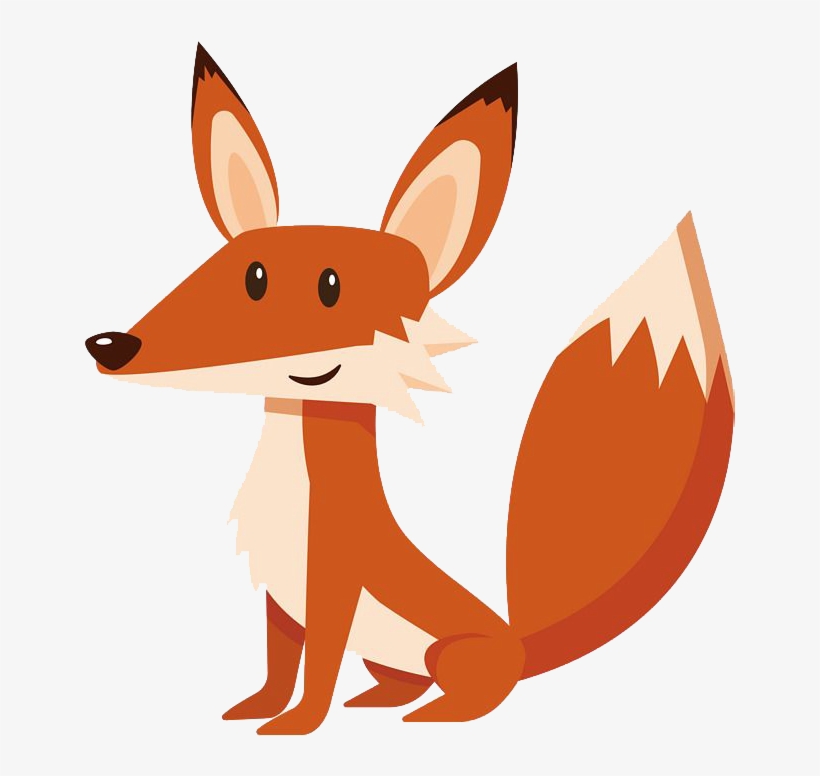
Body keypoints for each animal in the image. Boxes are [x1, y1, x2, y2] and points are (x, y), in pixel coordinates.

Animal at [85, 44, 735, 735]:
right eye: (231, 272)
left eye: (328, 286)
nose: (112, 345)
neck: (291, 484)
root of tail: (517, 642)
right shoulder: (282, 600)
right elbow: (278, 665)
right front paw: (257, 709)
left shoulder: (333, 583)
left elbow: (316, 670)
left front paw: (297, 725)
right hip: (389, 656)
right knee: (398, 680)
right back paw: (380, 700)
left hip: (449, 652)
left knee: (474, 694)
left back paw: (435, 714)